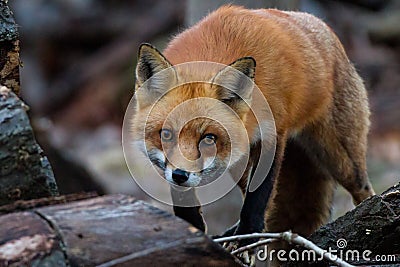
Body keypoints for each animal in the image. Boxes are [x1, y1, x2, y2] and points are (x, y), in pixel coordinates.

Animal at [130, 4, 376, 258]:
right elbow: (184, 201)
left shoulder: (272, 136)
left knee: (364, 189)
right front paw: (192, 233)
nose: (180, 175)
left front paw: (246, 239)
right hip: (237, 163)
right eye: (166, 134)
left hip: (341, 159)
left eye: (209, 138)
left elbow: (257, 199)